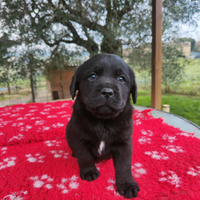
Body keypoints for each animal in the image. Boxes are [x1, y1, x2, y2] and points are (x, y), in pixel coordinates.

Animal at [66, 53, 140, 198]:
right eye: (92, 76)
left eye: (121, 79)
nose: (107, 92)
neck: (103, 121)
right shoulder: (78, 138)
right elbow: (84, 156)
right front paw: (89, 171)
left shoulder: (124, 143)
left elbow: (124, 165)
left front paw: (127, 184)